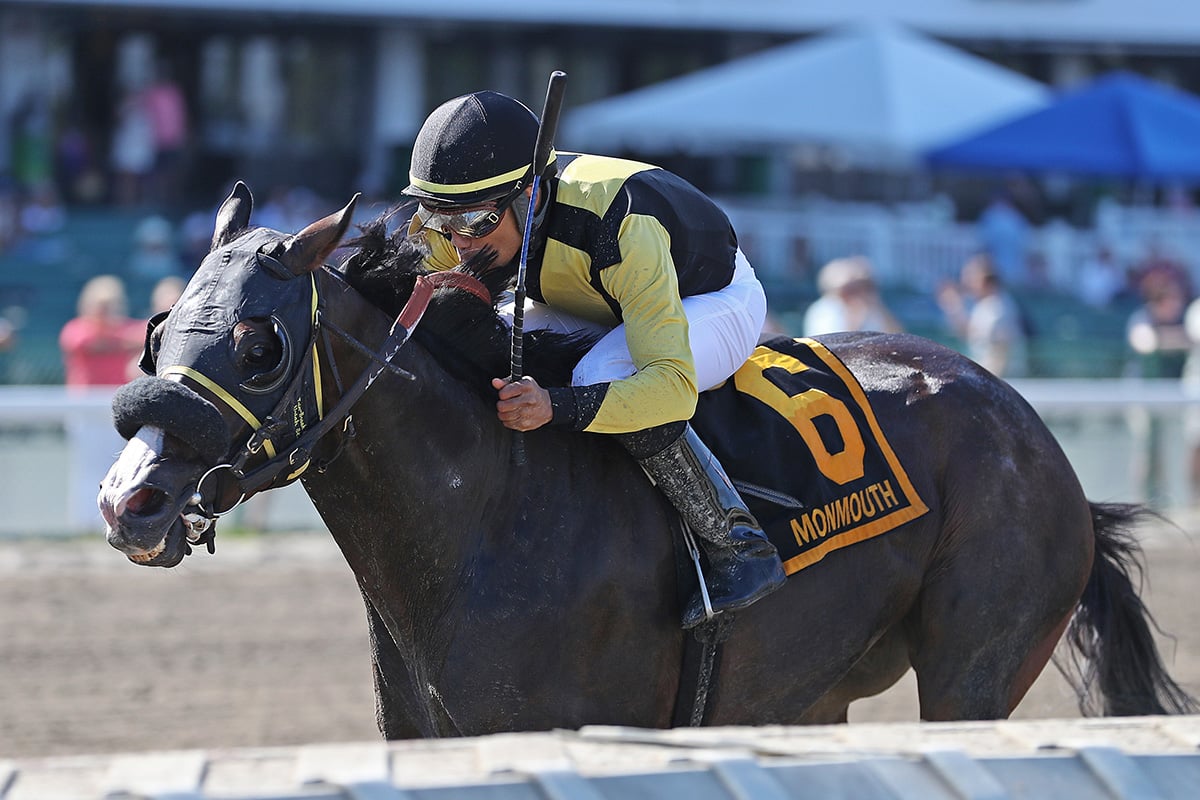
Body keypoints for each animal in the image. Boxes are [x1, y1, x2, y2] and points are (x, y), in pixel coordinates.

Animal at [98, 183, 1195, 738]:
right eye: (156, 329)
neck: (486, 518)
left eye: (260, 344)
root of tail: (1038, 440)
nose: (128, 500)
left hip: (974, 670)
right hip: (812, 694)